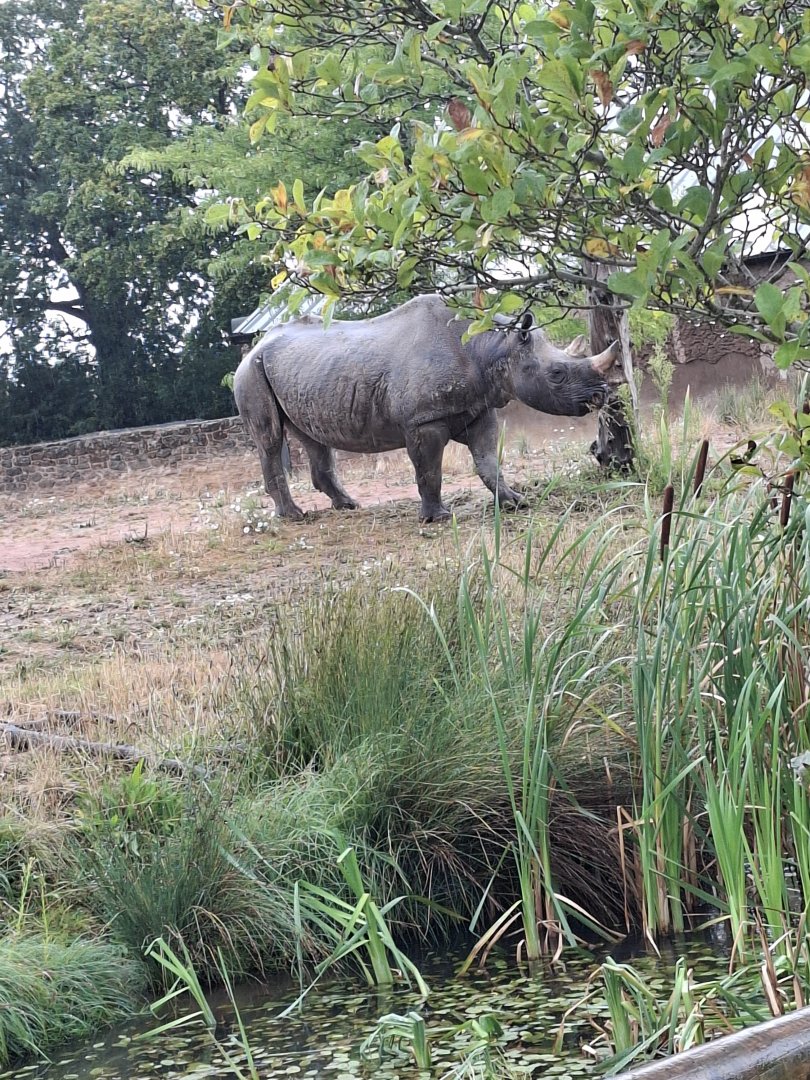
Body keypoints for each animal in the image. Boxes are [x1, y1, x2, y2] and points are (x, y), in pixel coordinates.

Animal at [234, 294, 619, 522]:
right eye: (557, 374)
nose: (601, 395)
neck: (492, 347)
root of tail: (259, 343)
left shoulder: (479, 409)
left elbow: (489, 461)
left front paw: (515, 501)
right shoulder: (423, 420)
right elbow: (429, 471)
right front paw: (438, 518)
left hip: (302, 372)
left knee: (312, 438)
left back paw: (348, 506)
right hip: (251, 371)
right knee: (270, 439)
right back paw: (293, 517)